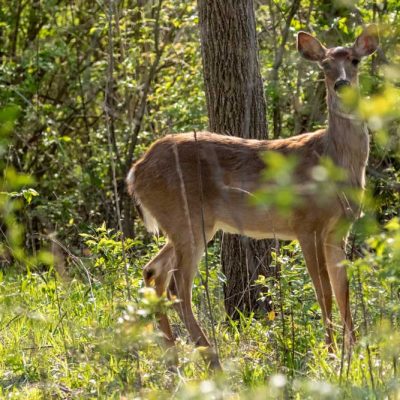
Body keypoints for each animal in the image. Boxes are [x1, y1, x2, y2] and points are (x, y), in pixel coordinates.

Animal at [127, 25, 378, 368]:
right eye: (325, 65)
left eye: (354, 60)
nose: (341, 84)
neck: (333, 162)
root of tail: (135, 172)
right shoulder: (306, 224)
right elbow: (323, 291)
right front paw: (329, 354)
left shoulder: (338, 229)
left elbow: (343, 291)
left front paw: (355, 353)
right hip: (185, 217)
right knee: (178, 286)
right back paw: (210, 356)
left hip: (191, 225)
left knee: (154, 272)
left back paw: (173, 356)